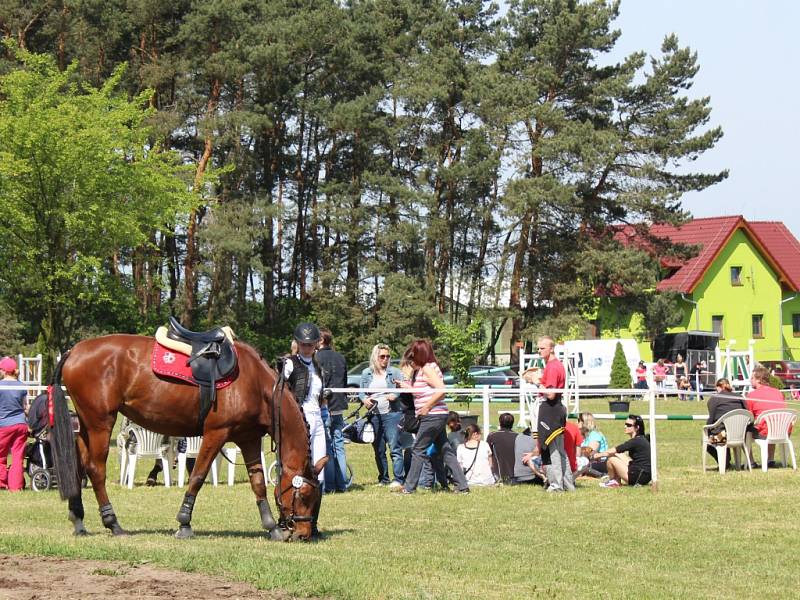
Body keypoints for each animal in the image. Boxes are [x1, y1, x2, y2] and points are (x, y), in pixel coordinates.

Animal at [50, 336, 324, 540]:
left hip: (87, 424)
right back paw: (112, 522)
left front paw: (272, 527)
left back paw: (78, 518)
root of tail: (74, 350)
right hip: (100, 423)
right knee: (95, 469)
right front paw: (184, 523)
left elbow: (257, 482)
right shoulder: (216, 433)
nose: (303, 533)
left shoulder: (248, 439)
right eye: (304, 496)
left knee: (78, 464)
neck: (256, 383)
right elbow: (198, 476)